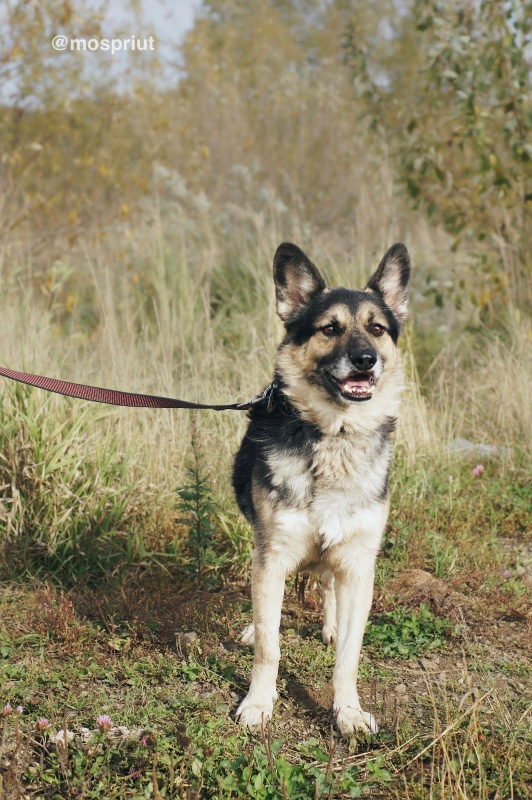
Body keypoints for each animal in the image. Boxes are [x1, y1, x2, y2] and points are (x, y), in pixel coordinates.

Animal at [233, 241, 412, 736]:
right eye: (330, 329)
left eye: (376, 328)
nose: (366, 360)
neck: (335, 436)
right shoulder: (271, 555)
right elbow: (270, 646)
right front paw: (259, 702)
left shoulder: (358, 562)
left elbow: (348, 656)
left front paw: (347, 711)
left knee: (329, 586)